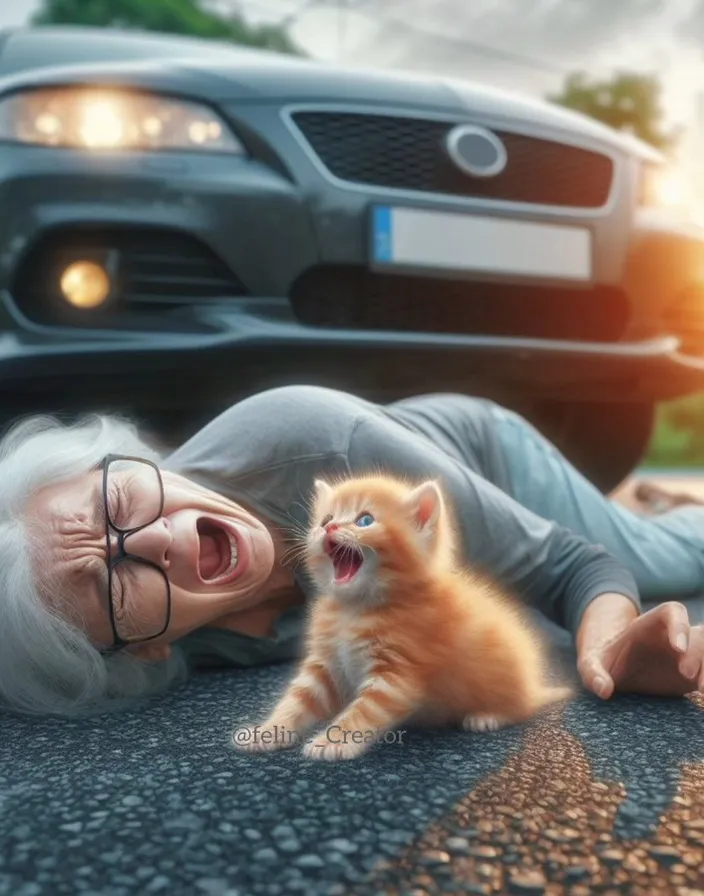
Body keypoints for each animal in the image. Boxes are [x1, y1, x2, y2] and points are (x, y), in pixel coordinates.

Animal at [235, 472, 572, 760]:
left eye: (365, 520)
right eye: (326, 519)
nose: (329, 529)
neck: (354, 609)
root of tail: (532, 689)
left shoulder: (398, 674)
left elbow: (364, 711)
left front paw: (333, 742)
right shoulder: (325, 665)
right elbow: (297, 700)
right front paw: (268, 731)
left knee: (521, 709)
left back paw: (487, 716)